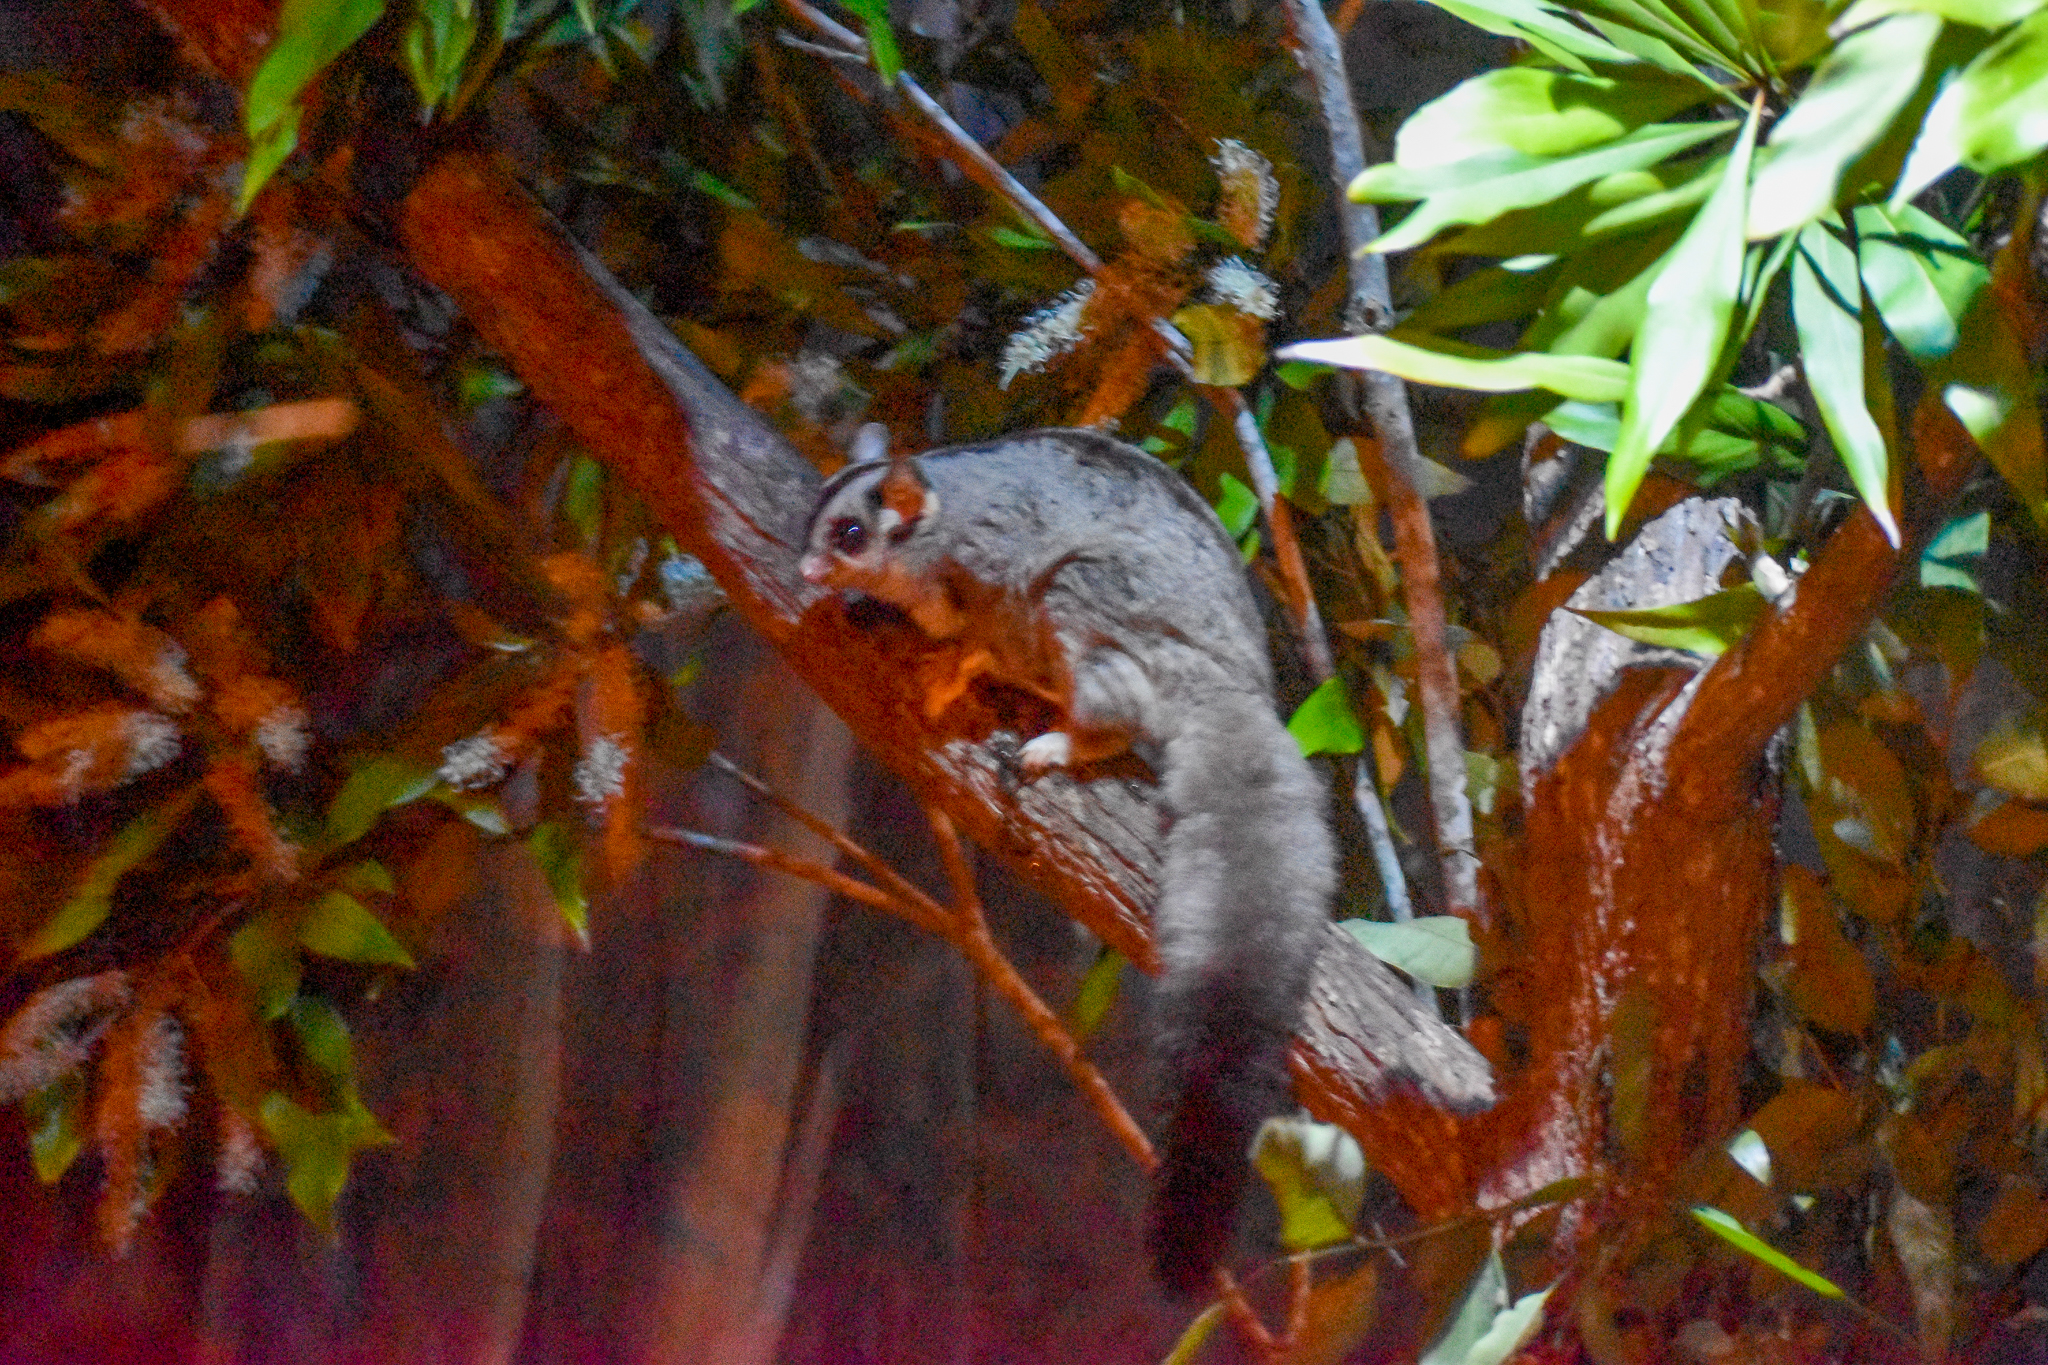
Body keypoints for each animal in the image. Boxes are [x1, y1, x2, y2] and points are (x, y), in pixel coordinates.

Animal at [799, 427, 1335, 1296]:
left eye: (848, 534)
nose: (810, 571)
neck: (932, 535)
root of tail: (1235, 688)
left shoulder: (990, 558)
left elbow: (976, 615)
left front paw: (949, 649)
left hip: (1108, 609)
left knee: (1091, 648)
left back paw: (1068, 738)